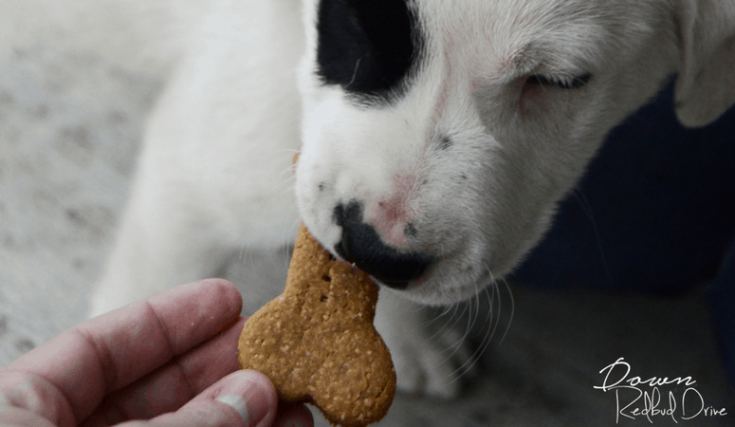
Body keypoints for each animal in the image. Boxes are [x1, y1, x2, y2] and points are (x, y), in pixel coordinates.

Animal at [7, 0, 735, 400]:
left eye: (559, 81)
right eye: (356, 18)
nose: (372, 246)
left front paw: (402, 334)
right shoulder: (191, 178)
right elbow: (144, 297)